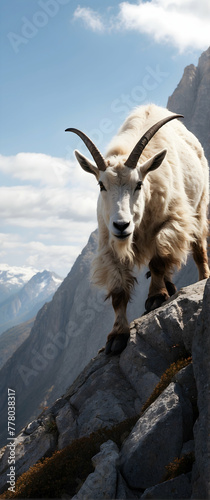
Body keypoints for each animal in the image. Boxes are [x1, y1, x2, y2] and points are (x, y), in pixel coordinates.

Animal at [65, 104, 208, 356]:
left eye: (138, 184)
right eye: (101, 185)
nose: (122, 225)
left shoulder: (174, 221)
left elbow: (159, 260)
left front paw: (156, 296)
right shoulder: (109, 242)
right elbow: (118, 292)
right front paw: (116, 336)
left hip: (199, 207)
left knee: (198, 247)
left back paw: (201, 278)